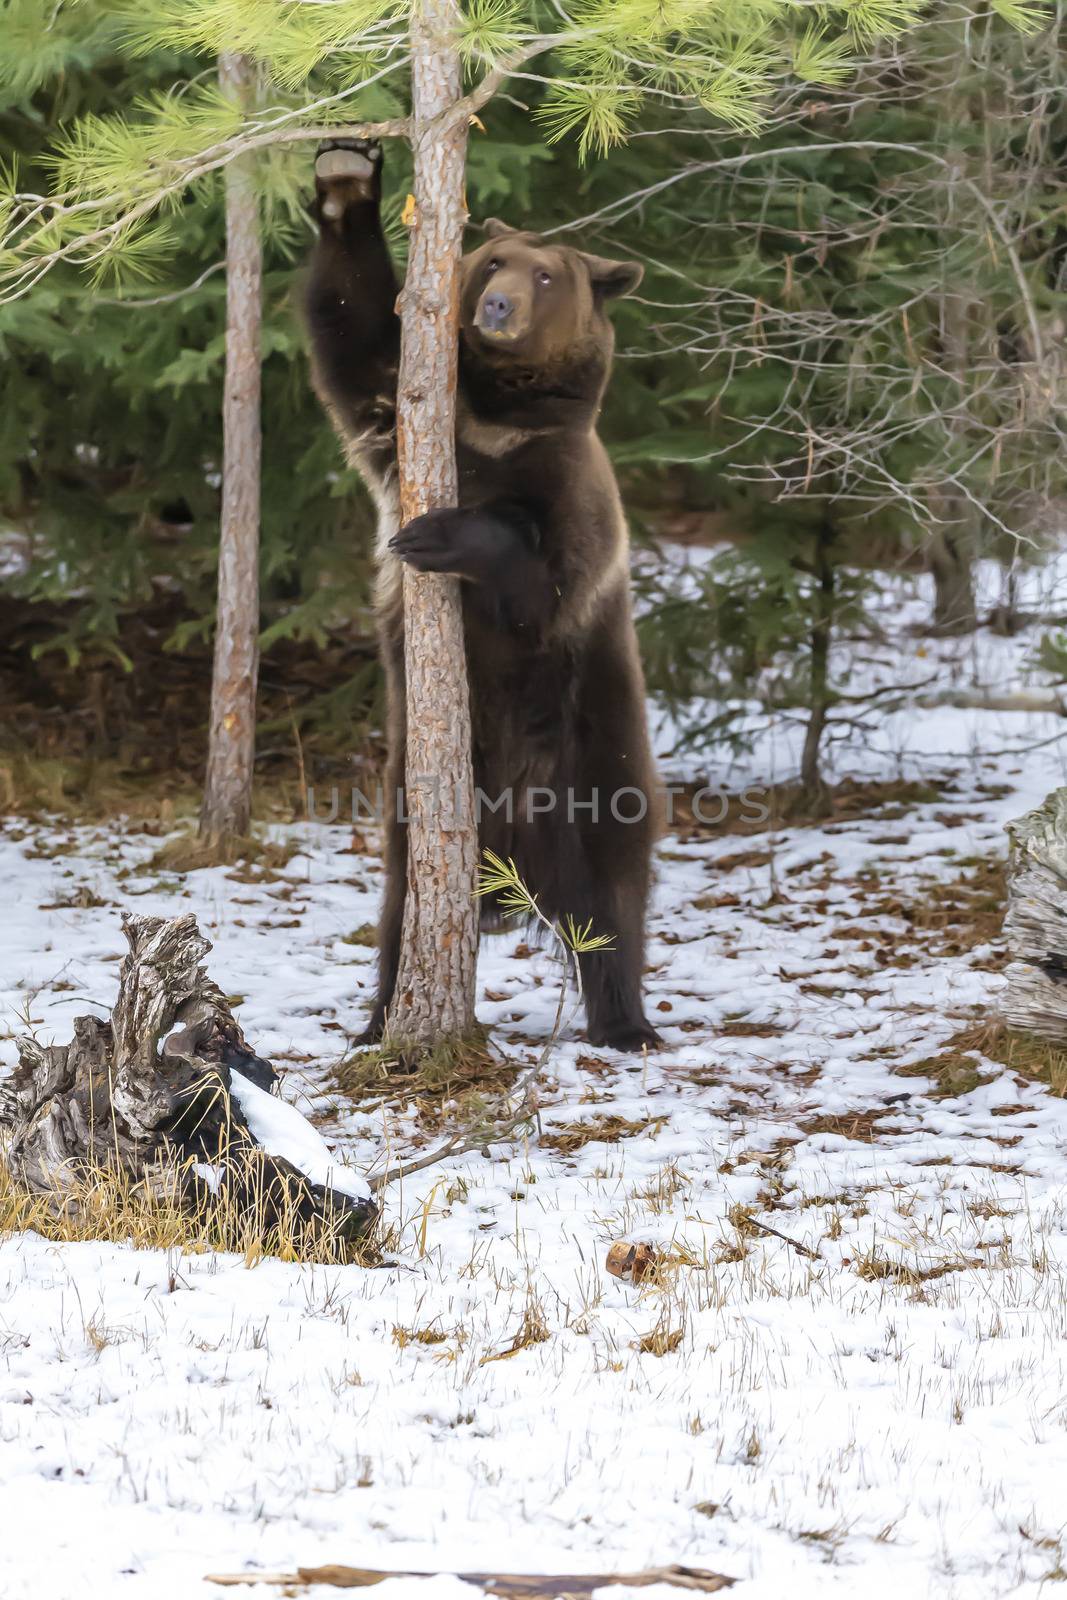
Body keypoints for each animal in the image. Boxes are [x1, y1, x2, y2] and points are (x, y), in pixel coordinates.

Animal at [303, 140, 662, 1049]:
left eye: (547, 276)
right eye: (493, 260)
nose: (497, 305)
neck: (499, 414)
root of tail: (512, 873)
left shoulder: (571, 486)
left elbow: (548, 578)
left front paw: (436, 537)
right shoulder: (398, 422)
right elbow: (352, 334)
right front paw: (346, 176)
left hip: (595, 756)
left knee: (613, 900)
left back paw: (625, 1021)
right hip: (416, 802)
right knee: (401, 911)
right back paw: (379, 1021)